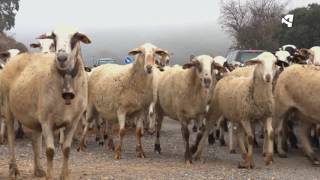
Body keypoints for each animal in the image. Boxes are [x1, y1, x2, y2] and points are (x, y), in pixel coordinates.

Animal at [0, 26, 91, 179]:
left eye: (76, 36)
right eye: (54, 36)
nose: (61, 58)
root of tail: (17, 57)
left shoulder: (73, 121)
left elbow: (66, 149)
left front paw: (64, 175)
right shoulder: (46, 121)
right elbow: (50, 151)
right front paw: (50, 175)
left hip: (34, 116)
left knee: (35, 140)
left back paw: (38, 169)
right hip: (8, 108)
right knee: (11, 138)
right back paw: (14, 169)